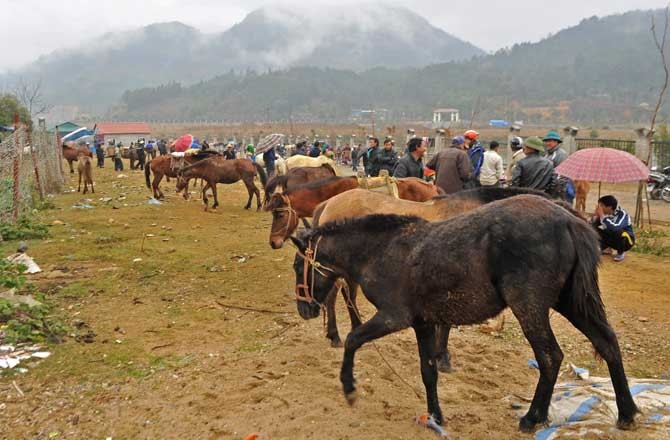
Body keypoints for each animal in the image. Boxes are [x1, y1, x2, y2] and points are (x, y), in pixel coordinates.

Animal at [290, 197, 640, 434]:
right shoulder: (422, 323)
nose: (304, 309)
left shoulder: (393, 316)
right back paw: (626, 412)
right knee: (607, 343)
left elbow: (353, 339)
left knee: (550, 357)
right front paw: (435, 416)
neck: (381, 250)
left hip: (530, 307)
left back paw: (533, 417)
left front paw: (349, 387)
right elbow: (428, 371)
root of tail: (570, 221)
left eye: (297, 266)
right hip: (569, 303)